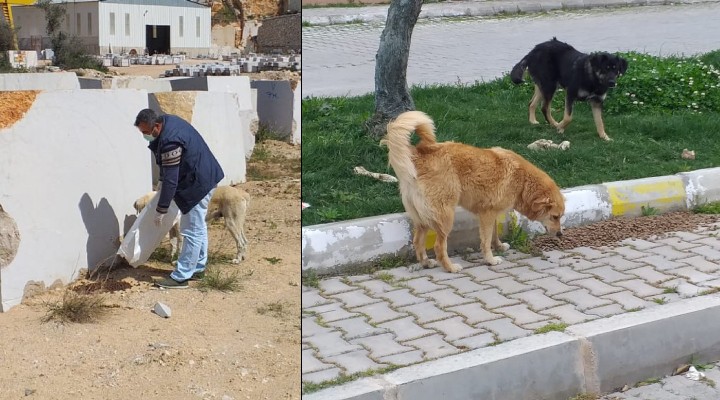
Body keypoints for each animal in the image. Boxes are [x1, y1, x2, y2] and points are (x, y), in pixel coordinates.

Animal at [386, 111, 564, 274]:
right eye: (555, 216)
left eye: (560, 217)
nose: (561, 234)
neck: (523, 181)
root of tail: (420, 154)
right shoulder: (487, 214)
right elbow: (485, 241)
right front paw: (490, 259)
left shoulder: (491, 214)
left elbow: (494, 234)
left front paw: (499, 246)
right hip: (446, 216)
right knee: (438, 247)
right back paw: (450, 267)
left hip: (422, 218)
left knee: (417, 241)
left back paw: (426, 262)